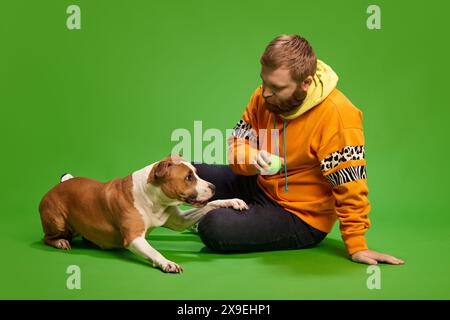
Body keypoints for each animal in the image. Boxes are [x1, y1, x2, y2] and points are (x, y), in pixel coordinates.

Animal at [38, 155, 248, 272]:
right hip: (57, 220)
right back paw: (60, 242)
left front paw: (232, 201)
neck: (154, 199)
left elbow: (209, 205)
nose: (213, 187)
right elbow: (153, 251)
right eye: (189, 177)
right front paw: (166, 263)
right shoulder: (134, 237)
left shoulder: (179, 221)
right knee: (47, 237)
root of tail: (59, 185)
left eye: (195, 173)